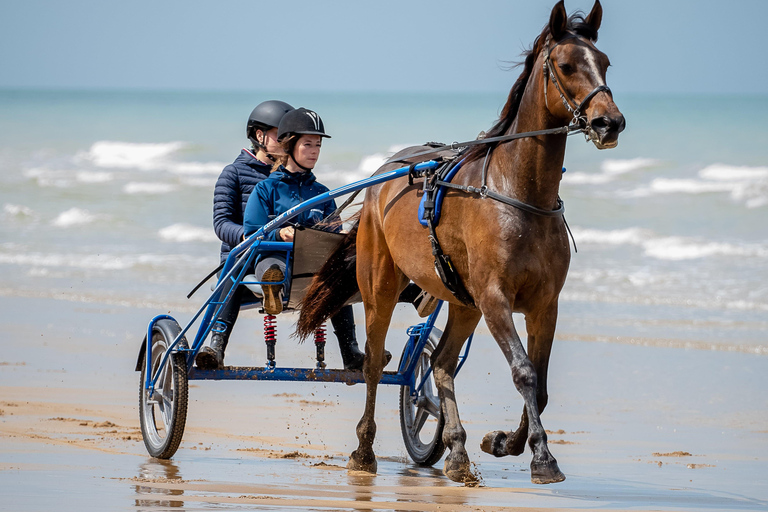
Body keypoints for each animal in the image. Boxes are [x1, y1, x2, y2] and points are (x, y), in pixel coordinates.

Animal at [296, 0, 624, 484]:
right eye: (565, 65)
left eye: (604, 63)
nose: (609, 122)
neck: (521, 194)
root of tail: (385, 173)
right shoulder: (495, 298)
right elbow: (524, 373)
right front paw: (542, 457)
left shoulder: (544, 304)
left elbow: (541, 385)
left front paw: (504, 442)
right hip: (382, 286)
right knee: (374, 362)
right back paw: (364, 450)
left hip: (463, 304)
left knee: (441, 364)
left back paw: (455, 451)